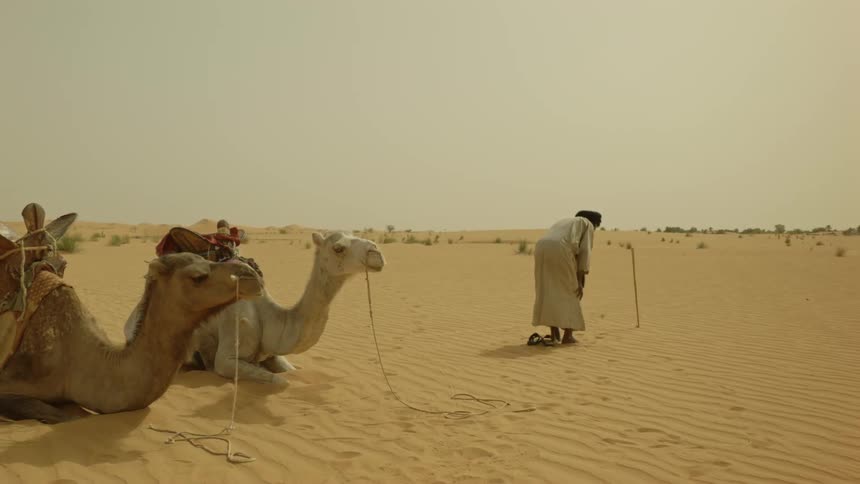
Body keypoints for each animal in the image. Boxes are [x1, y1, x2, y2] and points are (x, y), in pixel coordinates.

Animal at [126, 232, 385, 385]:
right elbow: (281, 381)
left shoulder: (273, 353)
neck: (267, 317)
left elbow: (289, 371)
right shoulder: (227, 356)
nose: (377, 254)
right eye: (338, 248)